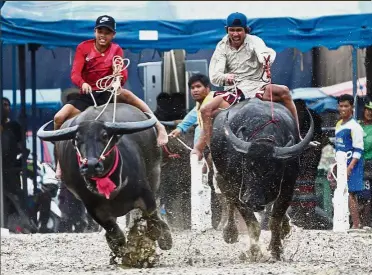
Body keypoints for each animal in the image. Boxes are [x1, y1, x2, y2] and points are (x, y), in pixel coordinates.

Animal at [37, 103, 172, 266]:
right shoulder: (93, 208)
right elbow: (115, 233)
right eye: (77, 139)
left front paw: (162, 240)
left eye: (104, 136)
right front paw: (124, 252)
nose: (91, 165)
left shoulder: (145, 195)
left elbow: (153, 221)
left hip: (155, 173)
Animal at [211, 98, 312, 260]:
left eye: (272, 171)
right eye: (246, 167)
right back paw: (230, 232)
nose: (253, 200)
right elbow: (252, 223)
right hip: (221, 176)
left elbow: (275, 219)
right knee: (229, 200)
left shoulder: (288, 186)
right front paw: (254, 251)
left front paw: (276, 250)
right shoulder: (237, 187)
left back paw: (286, 227)